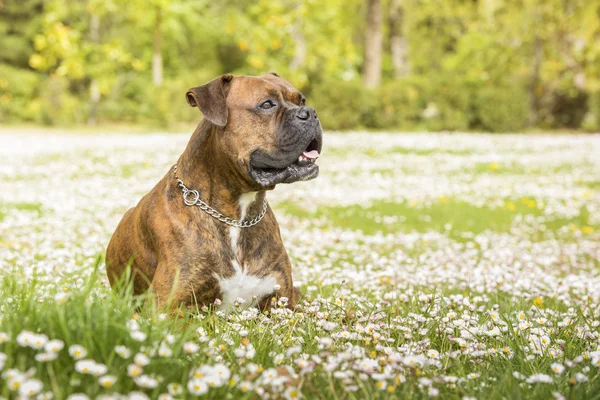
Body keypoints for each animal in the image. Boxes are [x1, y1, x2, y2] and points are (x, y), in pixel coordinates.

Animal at [108, 74, 324, 312]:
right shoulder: (164, 308)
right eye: (267, 104)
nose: (310, 112)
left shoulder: (286, 303)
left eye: (302, 100)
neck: (238, 217)